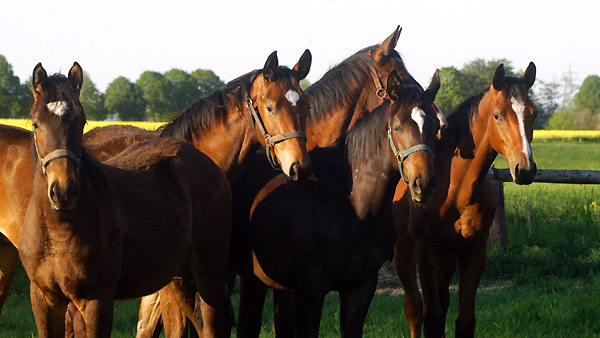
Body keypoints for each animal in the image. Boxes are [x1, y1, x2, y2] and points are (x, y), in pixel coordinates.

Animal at [17, 62, 233, 336]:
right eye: (36, 124)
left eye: (81, 122)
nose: (63, 191)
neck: (57, 232)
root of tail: (208, 164)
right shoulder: (45, 300)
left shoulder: (96, 300)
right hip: (179, 276)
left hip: (208, 271)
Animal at [394, 62, 540, 336]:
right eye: (498, 115)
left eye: (533, 114)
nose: (525, 169)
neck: (455, 190)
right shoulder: (426, 251)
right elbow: (431, 318)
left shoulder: (474, 252)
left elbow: (464, 320)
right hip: (404, 250)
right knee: (413, 308)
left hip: (449, 258)